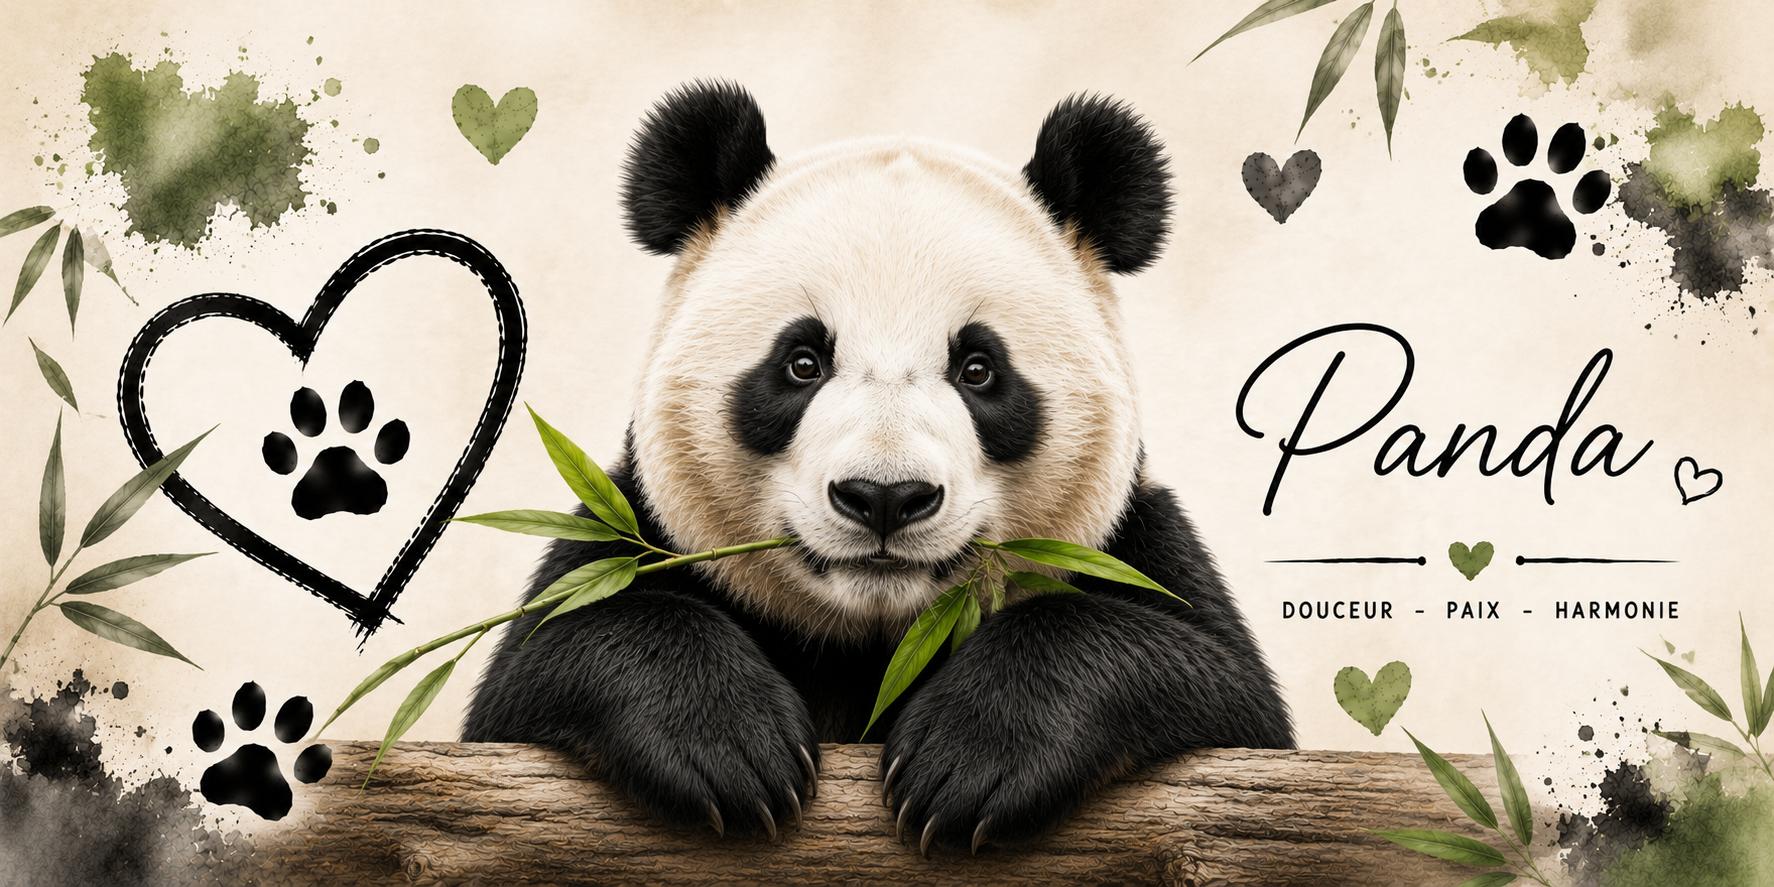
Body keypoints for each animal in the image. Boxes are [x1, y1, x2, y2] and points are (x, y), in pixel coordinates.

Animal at [462, 81, 1292, 853]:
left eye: (979, 369)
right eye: (801, 361)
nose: (886, 498)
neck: (876, 638)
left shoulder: (1128, 540)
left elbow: (1213, 680)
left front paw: (965, 763)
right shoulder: (635, 528)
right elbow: (554, 650)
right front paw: (732, 750)